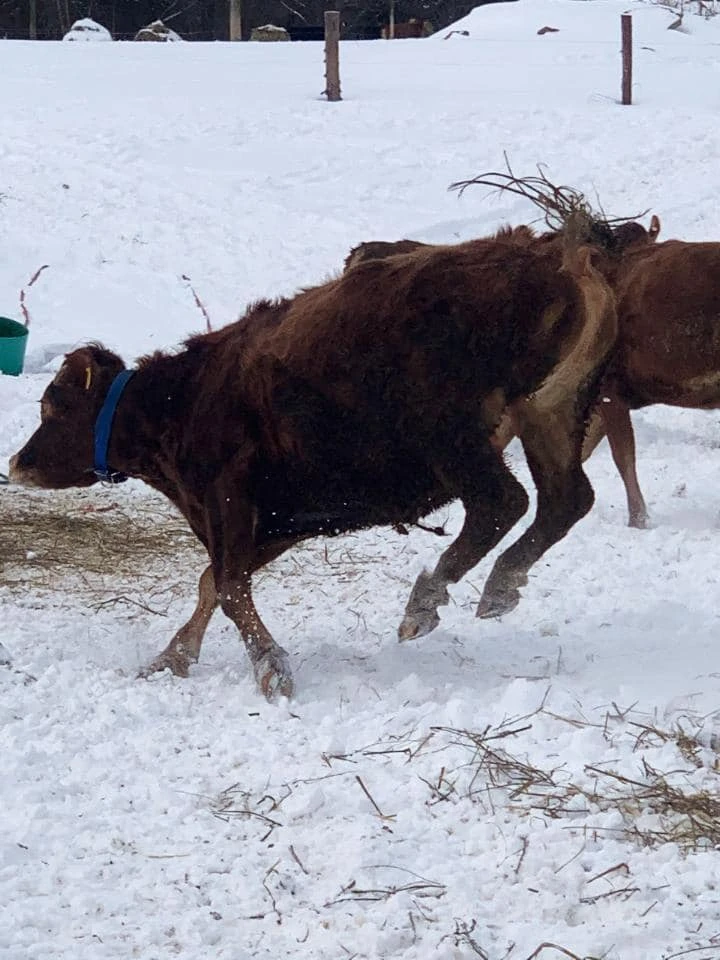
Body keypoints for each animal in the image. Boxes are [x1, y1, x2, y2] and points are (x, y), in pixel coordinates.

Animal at [9, 230, 616, 700]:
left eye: (52, 405)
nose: (16, 462)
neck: (184, 397)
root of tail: (554, 261)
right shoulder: (281, 522)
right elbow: (215, 583)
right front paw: (172, 658)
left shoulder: (230, 499)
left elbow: (227, 587)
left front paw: (271, 669)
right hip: (548, 419)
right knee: (564, 501)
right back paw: (500, 587)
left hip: (458, 441)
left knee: (502, 503)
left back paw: (425, 601)